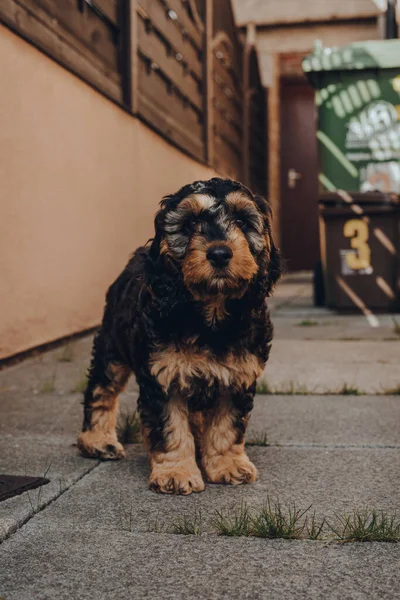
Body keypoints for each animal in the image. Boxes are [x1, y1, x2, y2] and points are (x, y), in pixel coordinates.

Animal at [76, 178, 280, 496]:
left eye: (242, 221)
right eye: (190, 224)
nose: (219, 253)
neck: (210, 314)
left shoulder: (238, 376)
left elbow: (227, 426)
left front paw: (227, 465)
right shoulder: (163, 376)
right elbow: (171, 426)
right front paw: (176, 473)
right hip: (112, 345)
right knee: (102, 389)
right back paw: (97, 441)